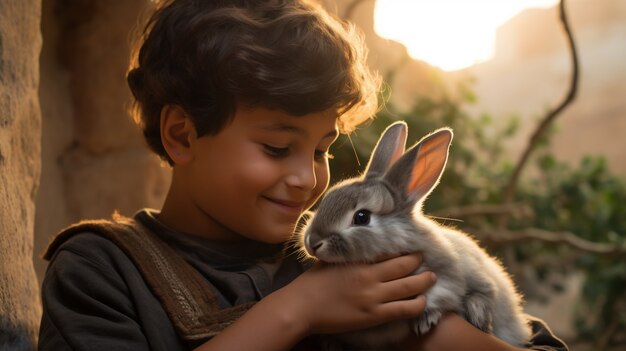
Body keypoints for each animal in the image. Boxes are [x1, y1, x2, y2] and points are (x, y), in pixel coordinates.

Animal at [300, 122, 528, 350]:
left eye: (362, 217)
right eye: (328, 198)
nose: (313, 243)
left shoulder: (444, 274)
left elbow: (441, 294)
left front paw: (424, 321)